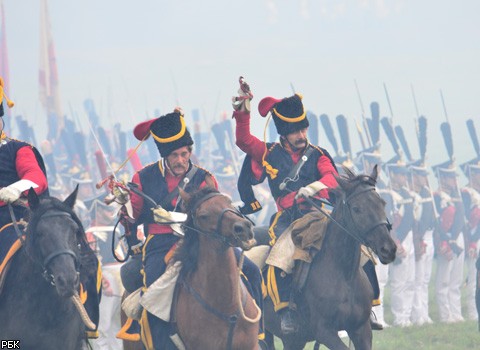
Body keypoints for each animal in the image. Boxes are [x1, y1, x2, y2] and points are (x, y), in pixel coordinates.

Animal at [262, 166, 398, 350]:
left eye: (382, 203)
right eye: (357, 208)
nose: (388, 249)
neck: (344, 274)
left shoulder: (361, 330)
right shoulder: (325, 332)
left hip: (294, 339)